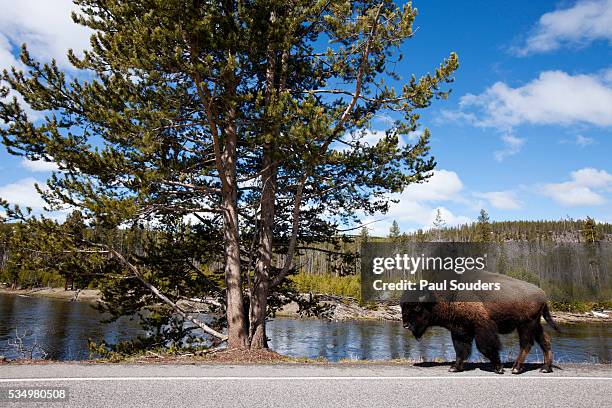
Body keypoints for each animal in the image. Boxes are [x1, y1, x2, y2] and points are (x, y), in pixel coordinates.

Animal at [402, 272, 560, 374]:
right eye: (403, 307)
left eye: (417, 307)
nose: (405, 325)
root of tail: (543, 295)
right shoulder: (460, 330)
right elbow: (461, 350)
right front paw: (454, 367)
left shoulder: (481, 327)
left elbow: (486, 347)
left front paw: (499, 368)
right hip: (535, 325)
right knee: (545, 341)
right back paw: (545, 368)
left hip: (526, 324)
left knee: (526, 344)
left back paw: (516, 368)